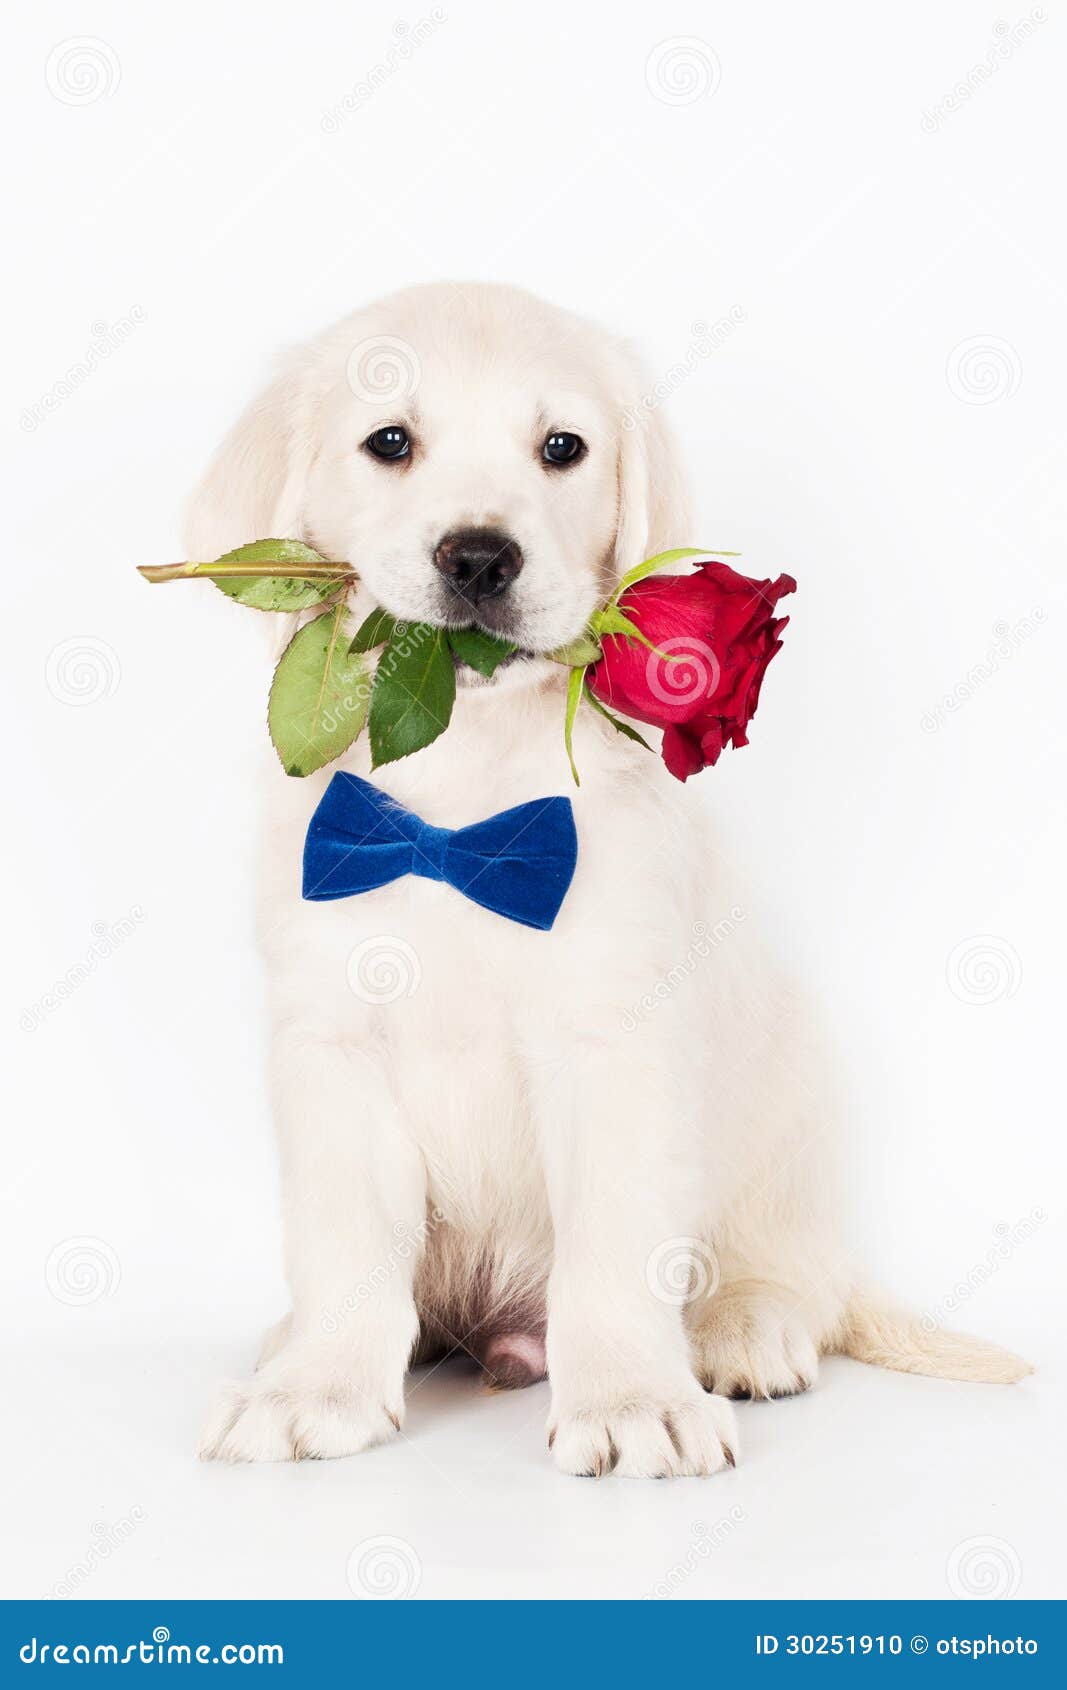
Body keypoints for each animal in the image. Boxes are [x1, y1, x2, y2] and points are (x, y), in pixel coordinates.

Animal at [190, 283, 1028, 1473]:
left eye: (562, 448)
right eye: (388, 441)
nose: (479, 558)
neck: (466, 786)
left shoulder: (613, 1036)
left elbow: (613, 1246)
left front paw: (632, 1398)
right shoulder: (331, 1035)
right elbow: (345, 1241)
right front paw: (315, 1382)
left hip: (787, 1121)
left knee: (795, 1276)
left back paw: (743, 1330)